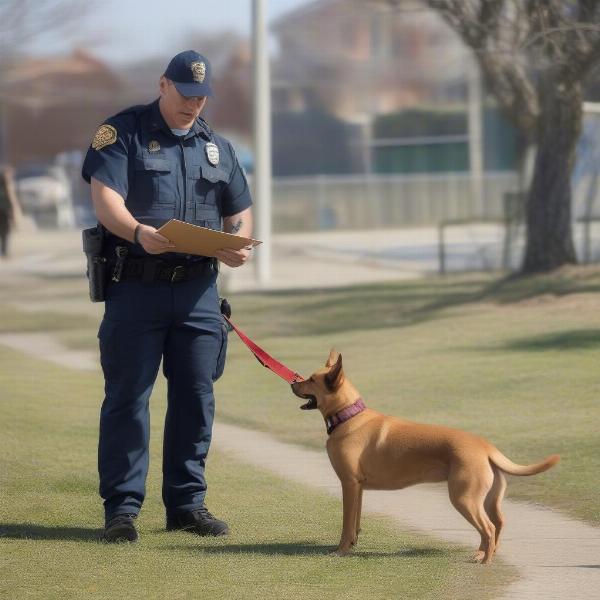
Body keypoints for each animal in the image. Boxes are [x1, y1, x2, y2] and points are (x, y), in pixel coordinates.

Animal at [292, 350, 560, 564]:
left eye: (312, 380)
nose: (293, 383)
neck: (348, 416)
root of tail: (485, 446)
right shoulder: (358, 487)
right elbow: (355, 521)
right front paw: (353, 544)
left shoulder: (348, 484)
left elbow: (346, 524)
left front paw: (341, 550)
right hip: (486, 499)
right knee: (497, 525)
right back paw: (483, 554)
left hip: (464, 498)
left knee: (489, 528)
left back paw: (486, 561)